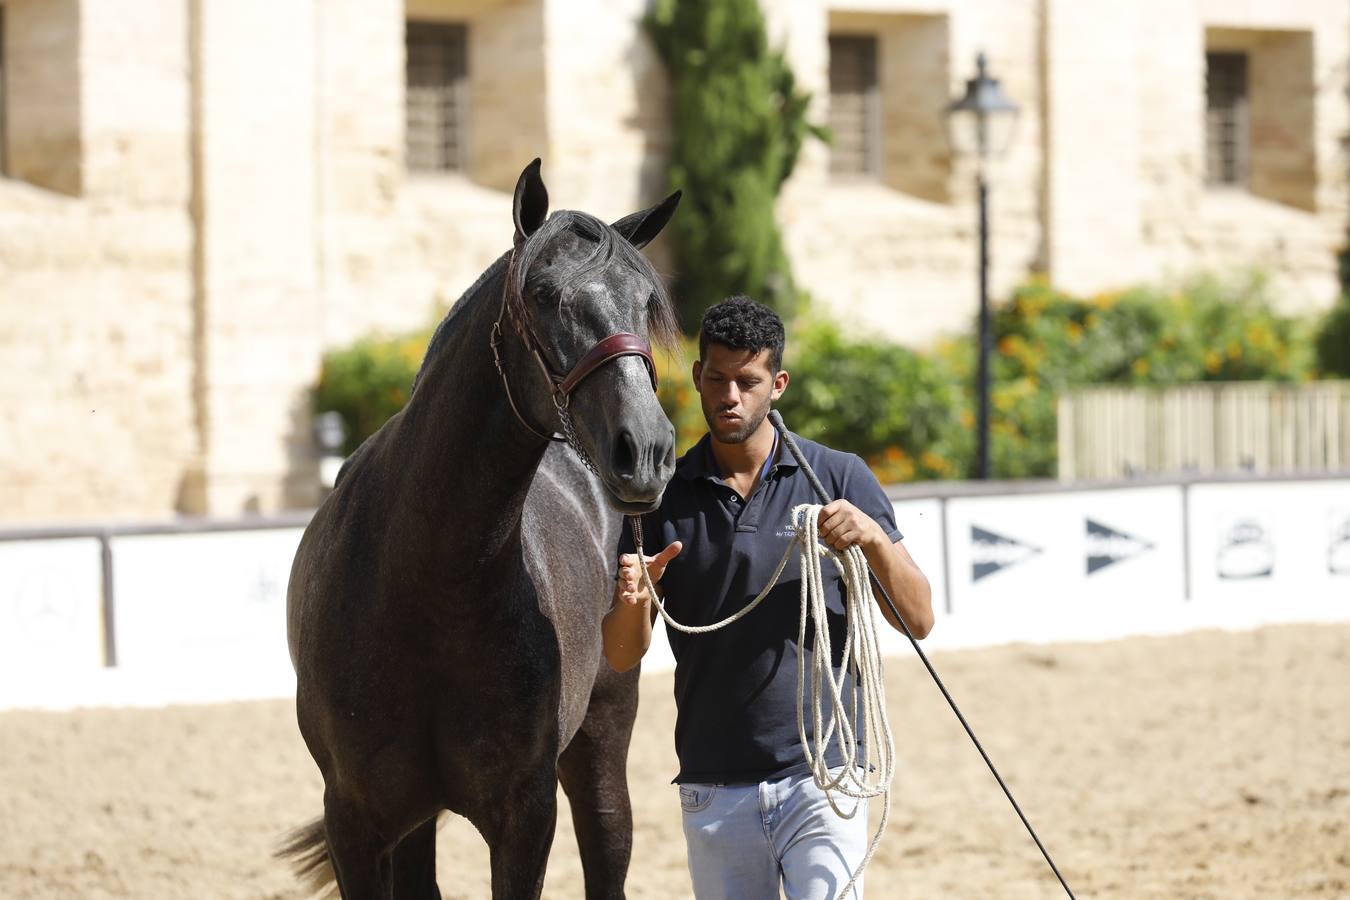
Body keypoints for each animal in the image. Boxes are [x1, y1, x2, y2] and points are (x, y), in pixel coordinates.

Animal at [279, 161, 680, 900]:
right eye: (543, 294)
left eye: (646, 301)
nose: (646, 451)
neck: (429, 587)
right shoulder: (356, 818)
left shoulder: (524, 815)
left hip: (602, 743)